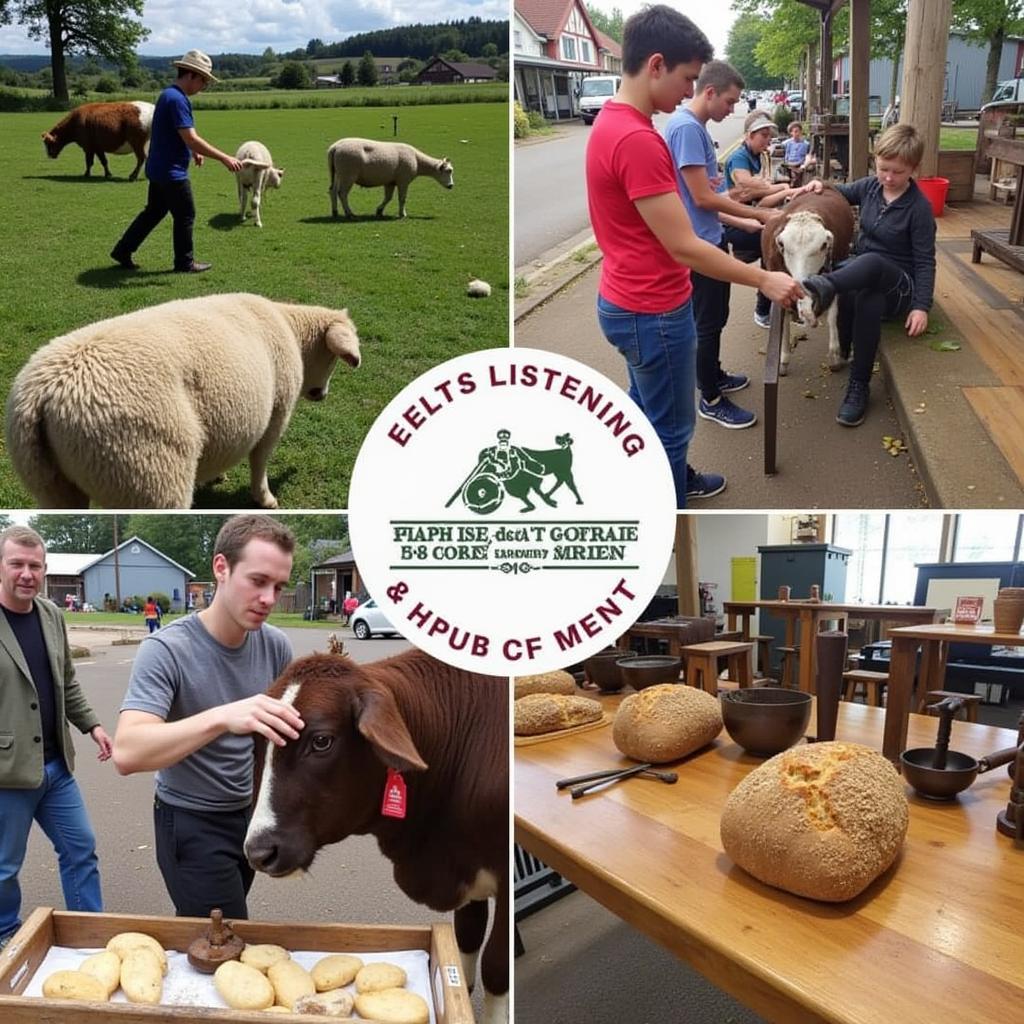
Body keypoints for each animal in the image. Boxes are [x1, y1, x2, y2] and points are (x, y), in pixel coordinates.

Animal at [4, 292, 362, 507]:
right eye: (333, 359)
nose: (322, 394)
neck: (291, 330)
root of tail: (44, 393)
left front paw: (214, 476)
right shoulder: (277, 412)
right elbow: (260, 460)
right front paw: (265, 498)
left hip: (50, 483)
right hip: (147, 472)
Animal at [327, 136, 456, 218]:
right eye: (449, 171)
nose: (451, 186)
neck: (418, 161)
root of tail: (335, 147)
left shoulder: (390, 182)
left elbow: (388, 198)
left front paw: (379, 211)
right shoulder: (403, 180)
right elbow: (402, 198)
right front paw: (402, 214)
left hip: (338, 173)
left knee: (332, 191)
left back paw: (335, 212)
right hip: (348, 174)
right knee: (342, 193)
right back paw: (349, 213)